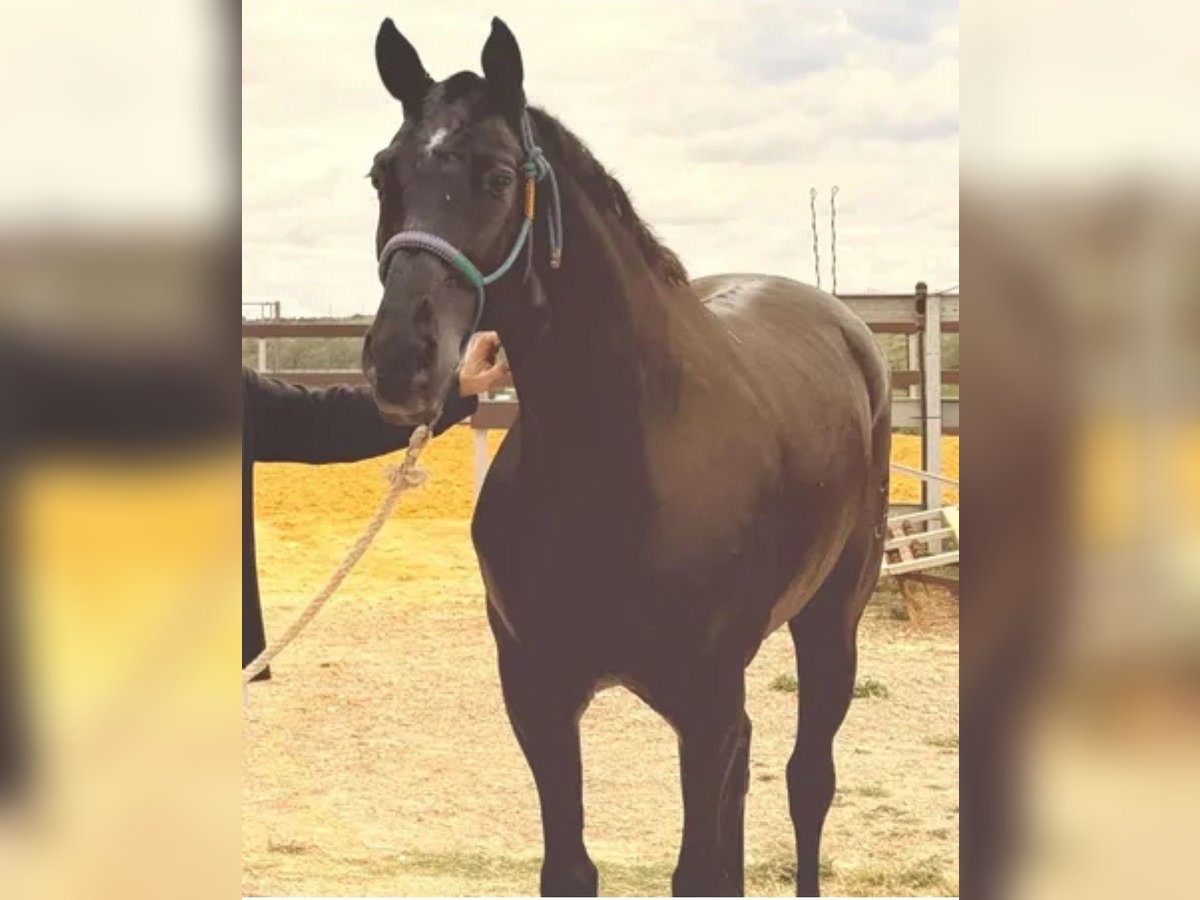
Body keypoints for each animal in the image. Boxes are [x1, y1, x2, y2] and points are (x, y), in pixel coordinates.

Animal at [361, 18, 891, 897]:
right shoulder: (538, 696)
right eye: (382, 175)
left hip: (830, 623)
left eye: (497, 175)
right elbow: (573, 869)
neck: (617, 464)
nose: (402, 360)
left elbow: (701, 868)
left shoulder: (704, 703)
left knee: (808, 780)